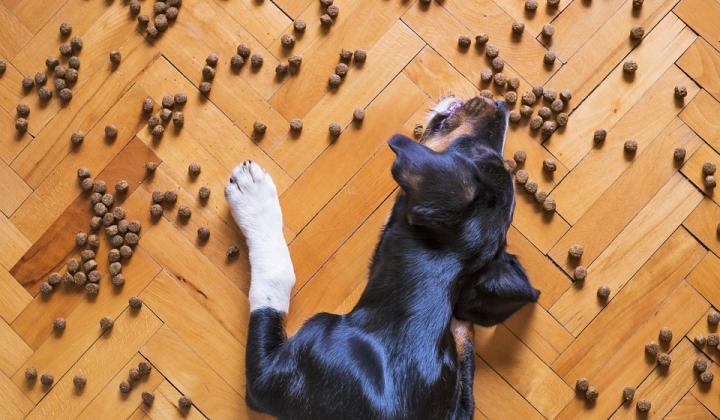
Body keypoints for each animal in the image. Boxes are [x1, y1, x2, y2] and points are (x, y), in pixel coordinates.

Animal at [225, 95, 540, 420]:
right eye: (486, 153)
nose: (500, 104)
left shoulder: (269, 380)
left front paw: (253, 196)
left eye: (475, 152)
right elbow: (464, 363)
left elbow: (275, 280)